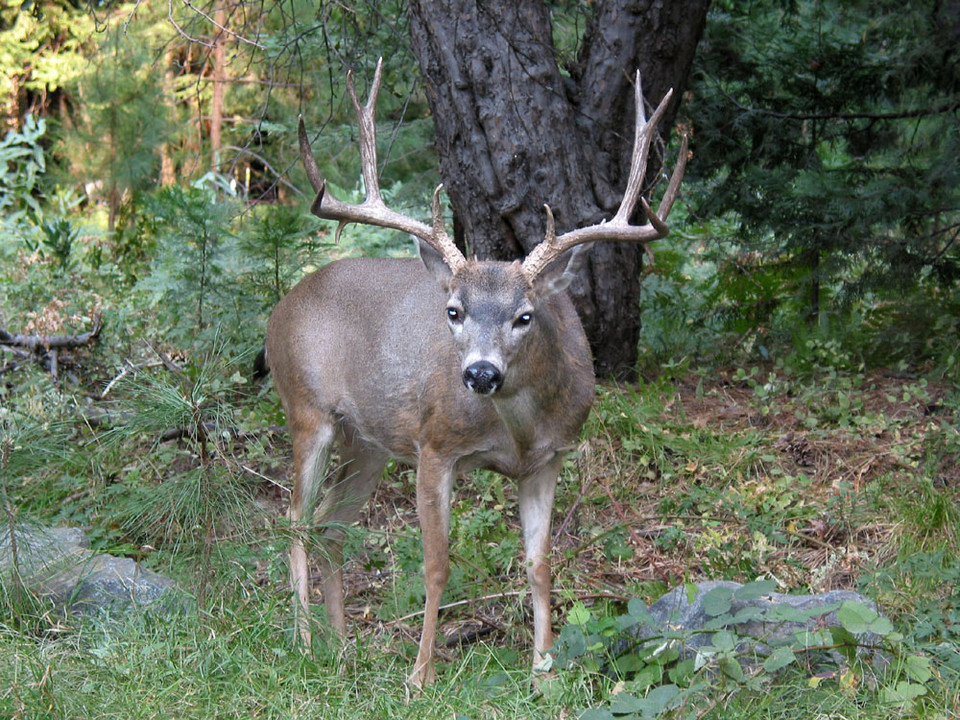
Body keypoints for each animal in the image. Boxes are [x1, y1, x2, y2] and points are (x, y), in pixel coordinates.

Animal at [258, 59, 688, 688]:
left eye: (524, 315)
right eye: (454, 311)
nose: (481, 374)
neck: (518, 430)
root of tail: (282, 307)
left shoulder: (549, 460)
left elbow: (540, 564)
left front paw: (544, 672)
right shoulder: (435, 445)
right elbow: (437, 564)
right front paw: (420, 677)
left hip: (369, 442)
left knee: (333, 525)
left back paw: (341, 648)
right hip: (308, 409)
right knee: (294, 518)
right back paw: (304, 641)